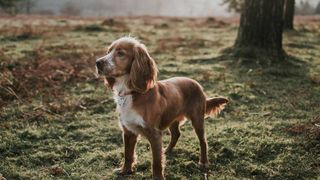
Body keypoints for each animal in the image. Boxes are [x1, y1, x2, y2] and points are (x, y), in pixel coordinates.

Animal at [95, 36, 228, 179]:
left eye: (121, 53)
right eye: (108, 51)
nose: (97, 63)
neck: (132, 92)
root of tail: (198, 84)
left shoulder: (154, 134)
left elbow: (156, 162)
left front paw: (158, 177)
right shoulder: (128, 131)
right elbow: (128, 154)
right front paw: (125, 170)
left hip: (197, 119)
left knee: (203, 141)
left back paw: (203, 162)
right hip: (172, 117)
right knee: (176, 134)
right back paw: (167, 151)